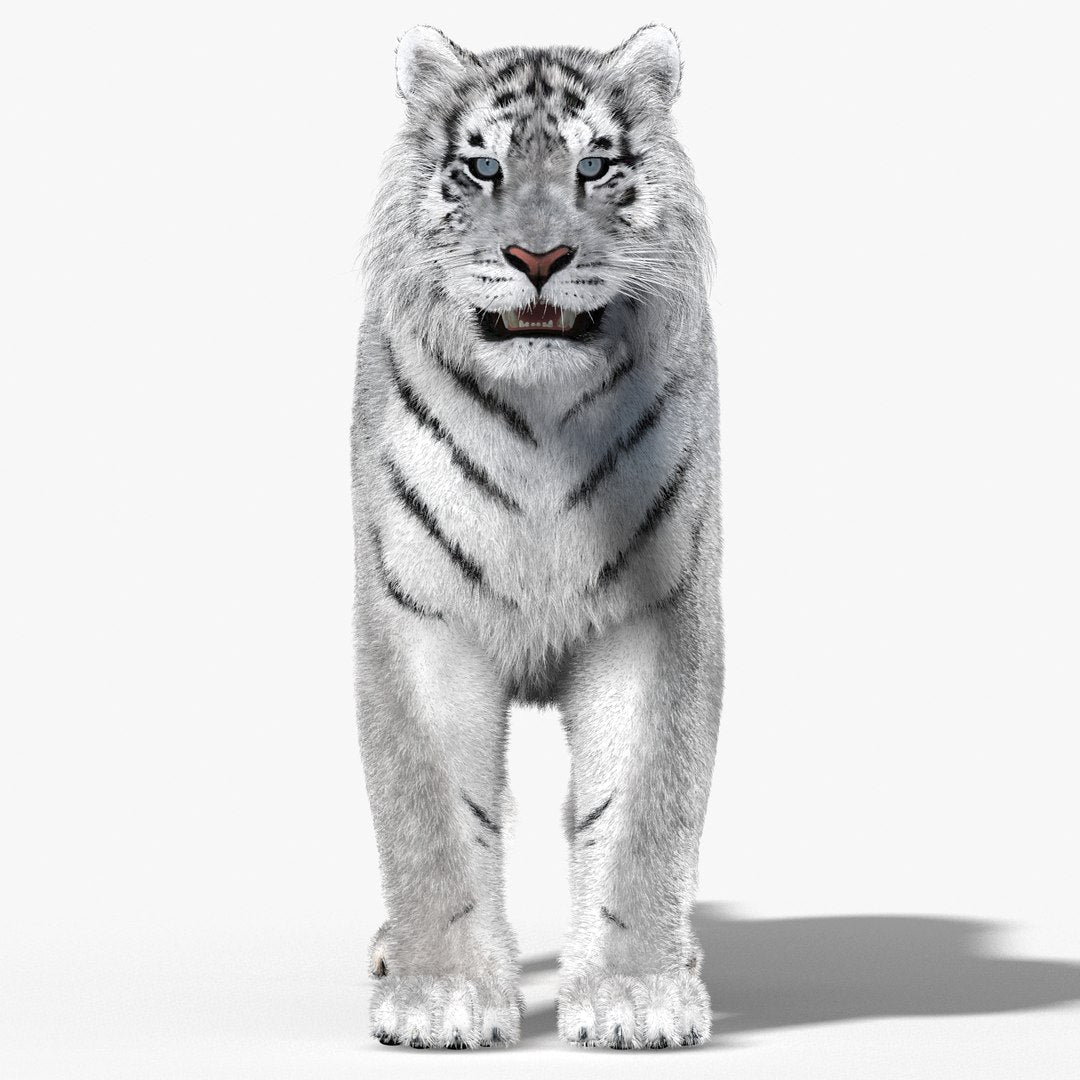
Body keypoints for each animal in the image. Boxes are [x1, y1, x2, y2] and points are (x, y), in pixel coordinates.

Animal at [352, 24, 723, 1050]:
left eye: (595, 166)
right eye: (483, 167)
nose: (539, 255)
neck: (541, 423)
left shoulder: (656, 617)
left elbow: (640, 815)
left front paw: (636, 997)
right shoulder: (420, 620)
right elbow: (432, 818)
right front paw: (440, 997)